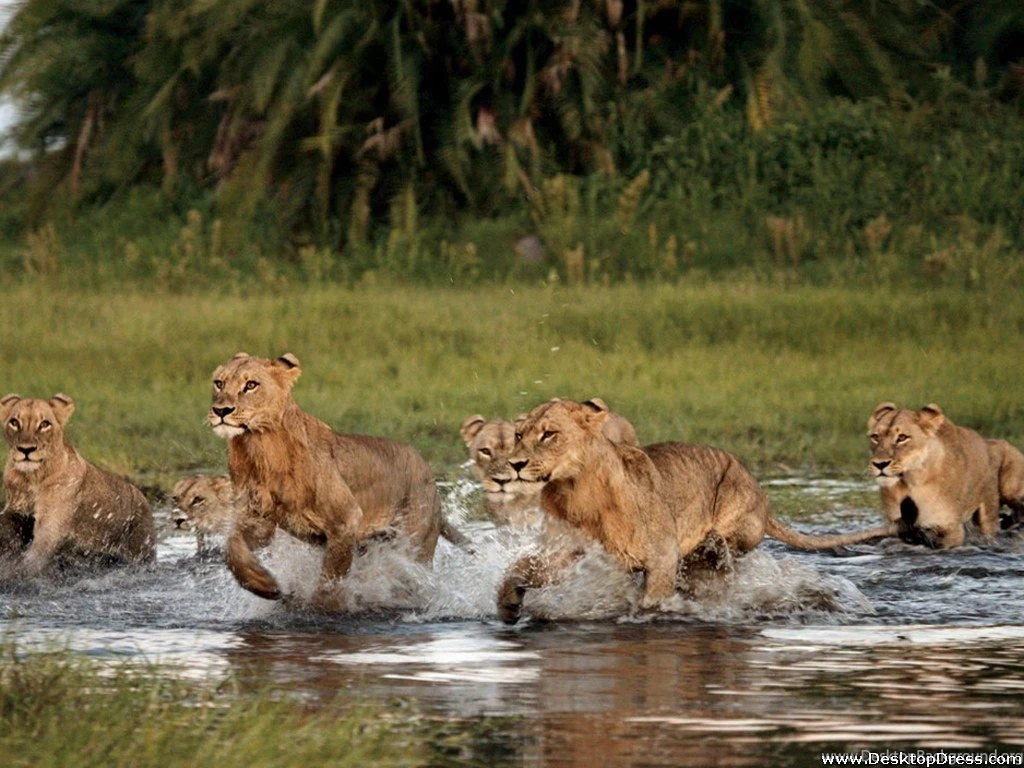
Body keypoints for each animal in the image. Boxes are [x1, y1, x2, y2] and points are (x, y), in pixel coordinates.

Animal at [0, 393, 155, 577]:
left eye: (44, 424)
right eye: (14, 422)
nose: (26, 449)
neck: (32, 478)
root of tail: (141, 495)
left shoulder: (50, 528)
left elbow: (32, 558)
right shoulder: (16, 510)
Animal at [208, 352, 468, 605]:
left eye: (251, 385)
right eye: (219, 383)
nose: (221, 411)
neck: (257, 447)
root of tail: (429, 475)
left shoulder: (346, 521)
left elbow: (330, 578)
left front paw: (323, 607)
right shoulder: (259, 520)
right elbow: (232, 548)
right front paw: (263, 583)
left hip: (412, 544)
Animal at [496, 398, 894, 623]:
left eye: (549, 434)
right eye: (518, 435)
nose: (515, 464)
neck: (576, 490)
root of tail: (763, 496)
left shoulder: (662, 555)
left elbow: (652, 601)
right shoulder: (572, 553)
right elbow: (521, 568)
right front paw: (507, 606)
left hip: (728, 525)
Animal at [868, 402, 1024, 547]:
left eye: (902, 438)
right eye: (875, 437)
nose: (879, 464)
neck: (910, 482)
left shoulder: (952, 530)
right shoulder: (895, 525)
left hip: (1008, 490)